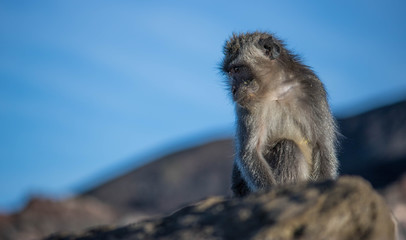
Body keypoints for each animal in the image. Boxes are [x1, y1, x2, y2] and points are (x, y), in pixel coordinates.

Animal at [220, 31, 338, 197]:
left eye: (237, 69)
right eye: (230, 72)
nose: (233, 90)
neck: (277, 90)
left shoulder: (314, 91)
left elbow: (323, 147)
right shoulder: (246, 106)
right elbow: (250, 153)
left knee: (287, 146)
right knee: (287, 145)